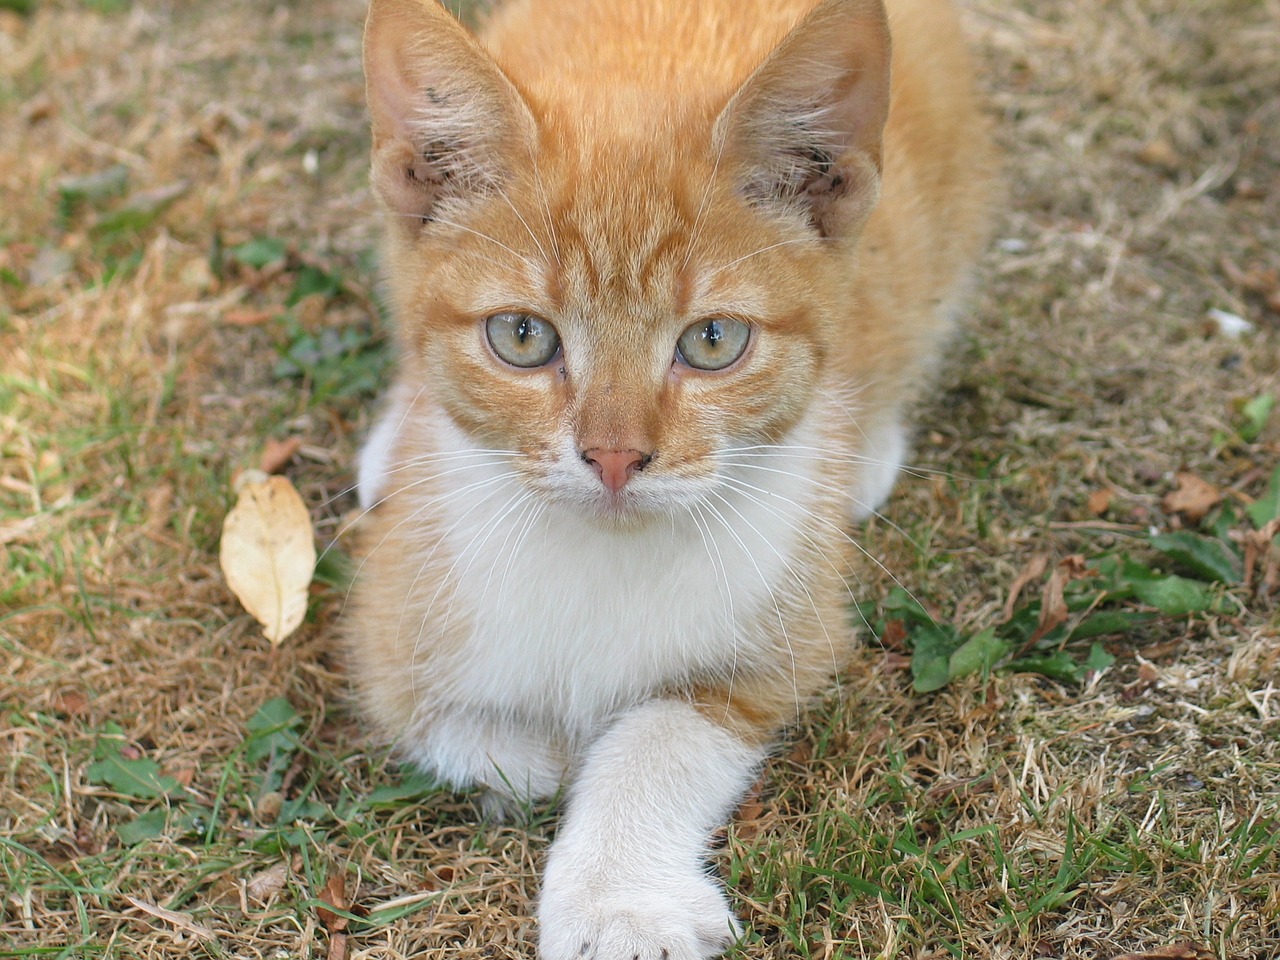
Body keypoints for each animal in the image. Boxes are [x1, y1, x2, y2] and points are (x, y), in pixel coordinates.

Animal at [345, 0, 993, 957]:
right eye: (522, 337)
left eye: (714, 341)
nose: (615, 457)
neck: (604, 558)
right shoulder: (392, 631)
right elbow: (463, 727)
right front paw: (541, 757)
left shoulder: (786, 639)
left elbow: (661, 731)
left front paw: (619, 901)